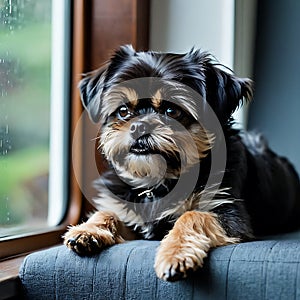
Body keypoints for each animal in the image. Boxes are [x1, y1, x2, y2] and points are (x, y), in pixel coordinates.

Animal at [63, 44, 300, 282]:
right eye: (123, 111)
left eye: (172, 111)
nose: (139, 126)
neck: (159, 182)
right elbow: (109, 212)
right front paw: (88, 230)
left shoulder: (231, 215)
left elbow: (192, 215)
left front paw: (175, 254)